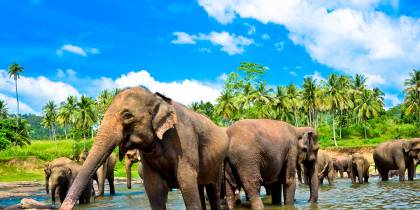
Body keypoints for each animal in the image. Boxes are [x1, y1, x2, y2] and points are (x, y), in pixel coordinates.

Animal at [60, 87, 228, 210]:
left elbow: (187, 183)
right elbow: (154, 189)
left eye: (127, 115)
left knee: (213, 191)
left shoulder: (185, 140)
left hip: (218, 164)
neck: (157, 99)